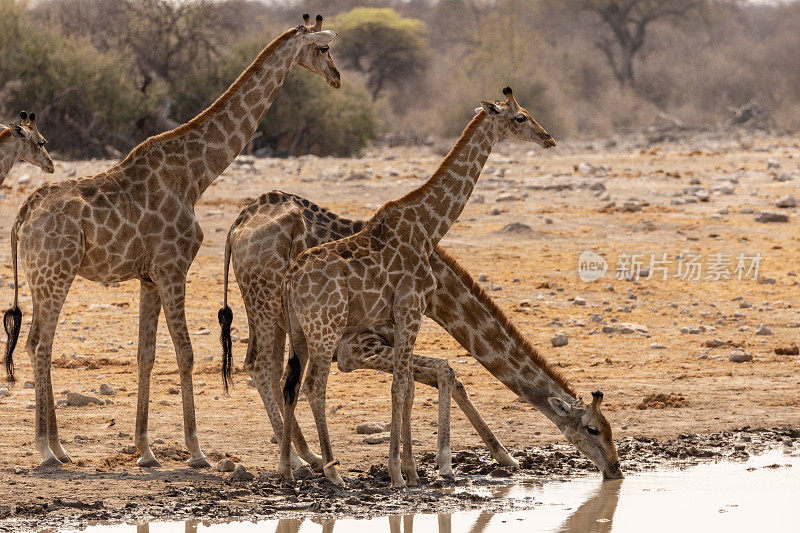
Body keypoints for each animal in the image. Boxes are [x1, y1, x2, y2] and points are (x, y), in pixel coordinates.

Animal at [2, 14, 340, 468]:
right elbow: (186, 352)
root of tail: (24, 213)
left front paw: (145, 451)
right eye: (323, 48)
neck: (195, 175)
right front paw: (197, 451)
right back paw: (45, 449)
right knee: (40, 344)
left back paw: (58, 447)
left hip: (42, 277)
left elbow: (145, 355)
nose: (336, 77)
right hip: (56, 274)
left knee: (36, 342)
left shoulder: (149, 276)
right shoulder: (173, 267)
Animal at [220, 189, 624, 480]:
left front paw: (502, 457)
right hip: (267, 302)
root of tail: (237, 225)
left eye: (610, 428)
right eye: (592, 430)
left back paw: (306, 457)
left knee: (271, 368)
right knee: (262, 366)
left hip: (274, 311)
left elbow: (444, 374)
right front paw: (439, 465)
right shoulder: (357, 348)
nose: (616, 469)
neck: (442, 291)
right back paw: (303, 461)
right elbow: (440, 371)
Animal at [276, 87, 556, 486]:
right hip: (325, 329)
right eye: (520, 118)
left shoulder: (400, 317)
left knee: (291, 383)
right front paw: (400, 472)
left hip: (299, 331)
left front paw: (409, 468)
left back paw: (287, 468)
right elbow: (401, 385)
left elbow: (407, 384)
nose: (548, 138)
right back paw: (334, 473)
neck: (428, 227)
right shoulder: (411, 308)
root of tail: (289, 280)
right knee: (315, 386)